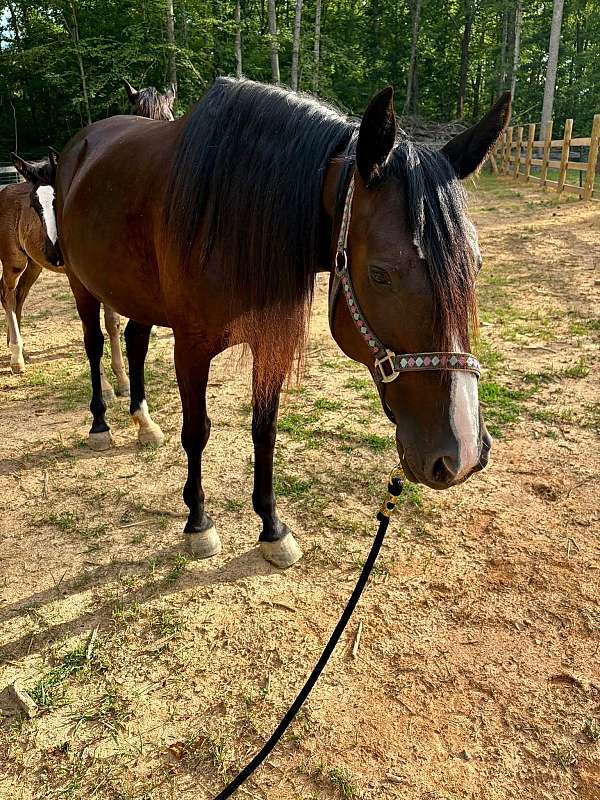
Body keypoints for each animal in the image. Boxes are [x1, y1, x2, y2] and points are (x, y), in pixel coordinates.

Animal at [0, 81, 175, 389]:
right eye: (35, 205)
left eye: (167, 119)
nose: (56, 251)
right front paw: (108, 385)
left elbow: (112, 322)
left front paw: (122, 379)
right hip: (14, 261)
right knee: (7, 295)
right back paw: (16, 357)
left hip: (34, 265)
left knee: (19, 295)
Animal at [55, 78, 510, 568]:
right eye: (380, 274)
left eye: (477, 264)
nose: (461, 454)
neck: (233, 210)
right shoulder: (191, 348)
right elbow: (196, 432)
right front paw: (198, 522)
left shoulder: (270, 342)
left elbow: (264, 432)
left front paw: (272, 529)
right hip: (83, 285)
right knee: (95, 346)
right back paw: (100, 425)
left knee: (134, 341)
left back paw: (143, 423)